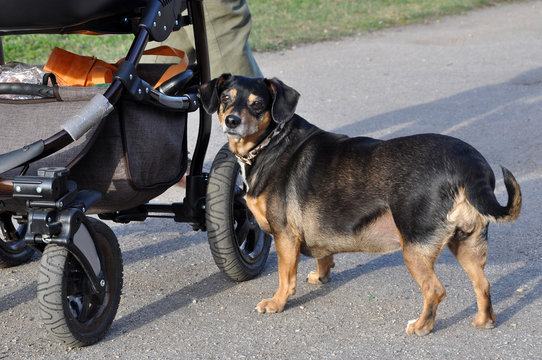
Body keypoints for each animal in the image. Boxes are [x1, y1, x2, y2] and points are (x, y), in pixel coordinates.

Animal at [200, 74, 524, 336]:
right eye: (226, 98)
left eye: (257, 104)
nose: (232, 120)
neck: (271, 142)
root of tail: (469, 164)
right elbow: (324, 255)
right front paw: (321, 276)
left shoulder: (285, 235)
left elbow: (285, 276)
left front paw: (277, 303)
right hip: (466, 243)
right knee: (483, 285)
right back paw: (483, 321)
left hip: (414, 248)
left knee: (435, 290)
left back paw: (422, 326)